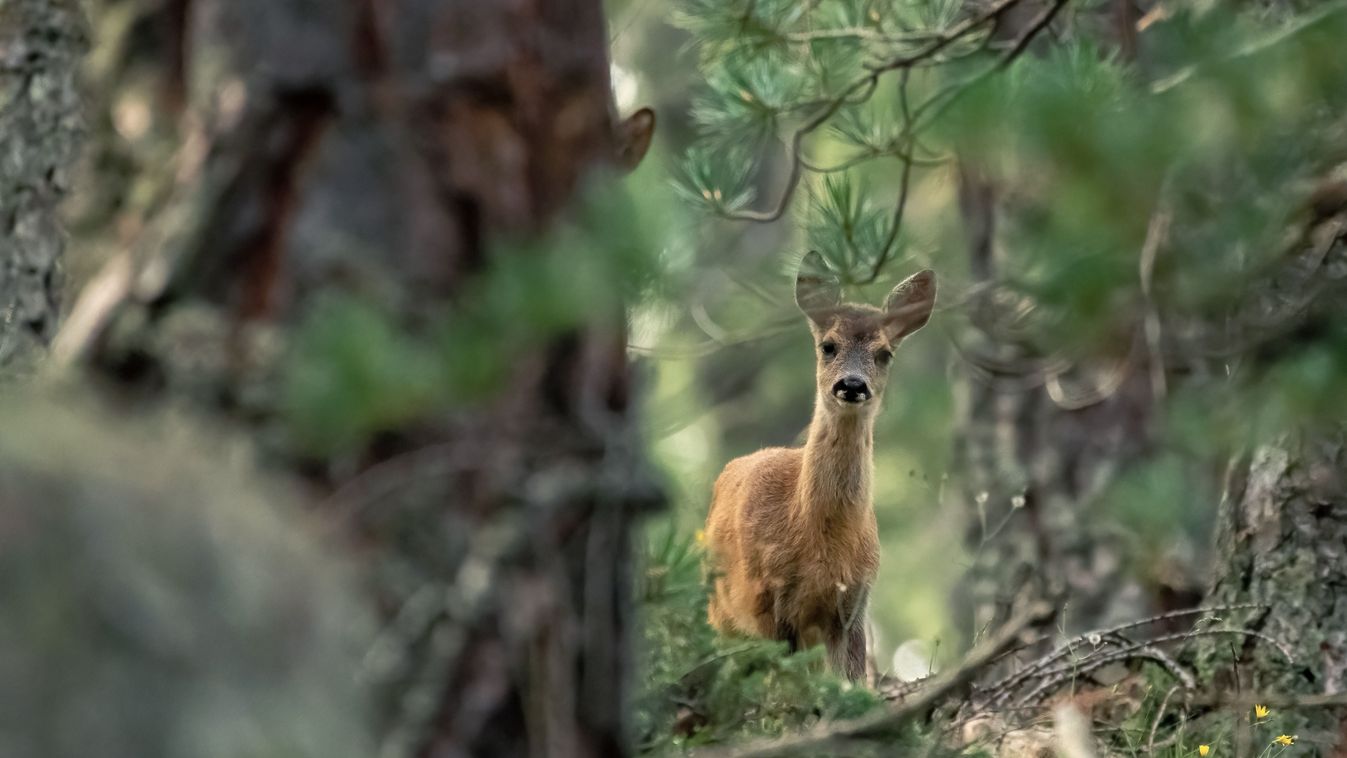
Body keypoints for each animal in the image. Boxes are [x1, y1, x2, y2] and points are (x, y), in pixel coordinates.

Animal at [705, 250, 937, 681]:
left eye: (885, 354)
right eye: (828, 346)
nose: (852, 384)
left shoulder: (854, 603)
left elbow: (853, 683)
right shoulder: (769, 600)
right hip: (723, 614)